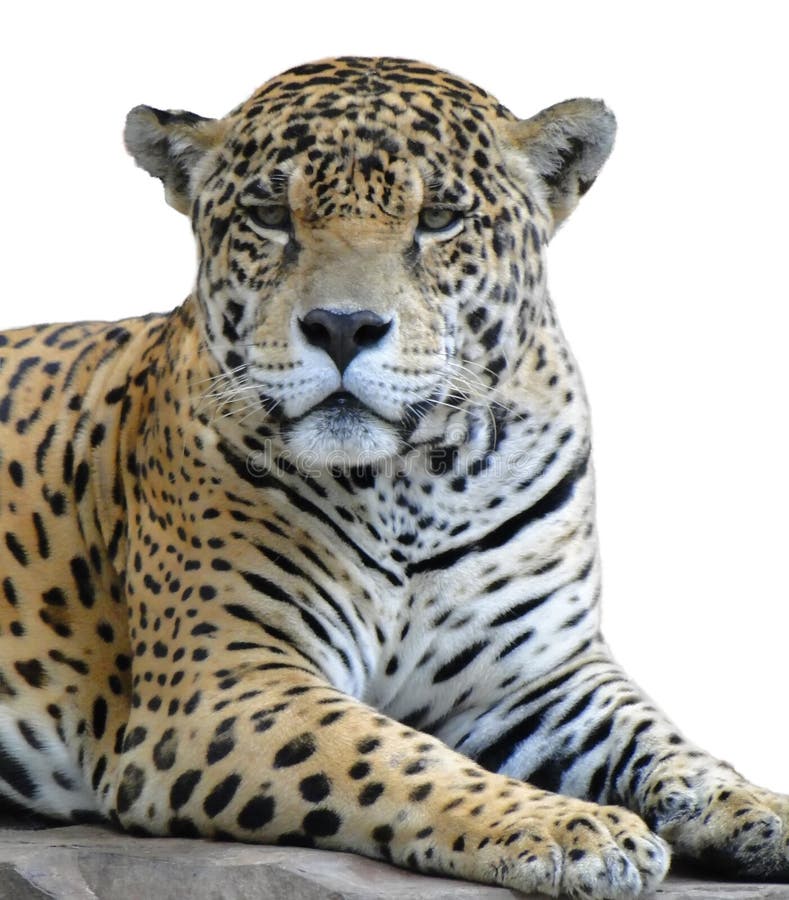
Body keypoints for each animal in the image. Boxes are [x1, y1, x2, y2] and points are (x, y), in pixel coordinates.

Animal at [0, 56, 787, 899]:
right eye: (269, 216)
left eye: (438, 219)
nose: (343, 327)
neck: (415, 480)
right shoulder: (223, 683)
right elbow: (392, 755)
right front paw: (570, 827)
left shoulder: (541, 677)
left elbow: (660, 738)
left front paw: (756, 806)